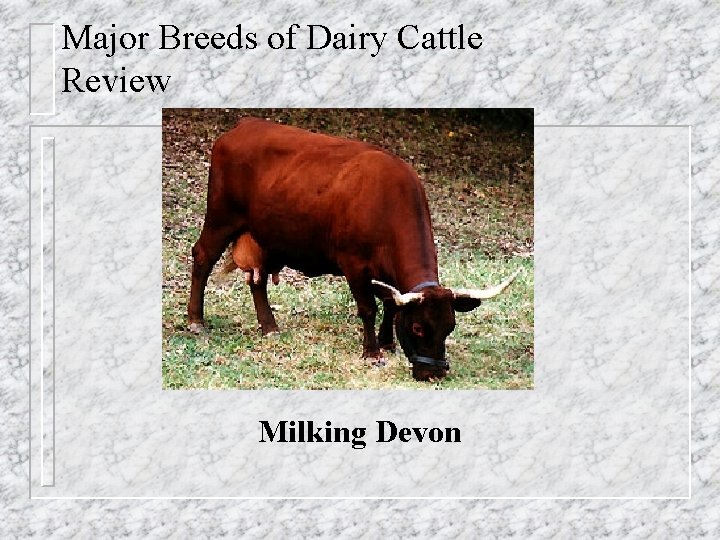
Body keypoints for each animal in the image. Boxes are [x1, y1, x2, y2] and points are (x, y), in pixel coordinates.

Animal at [188, 117, 518, 381]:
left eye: (450, 327)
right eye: (418, 328)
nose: (433, 373)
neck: (387, 203)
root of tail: (243, 125)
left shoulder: (386, 273)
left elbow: (390, 305)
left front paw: (387, 342)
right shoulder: (354, 264)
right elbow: (368, 307)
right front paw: (371, 352)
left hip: (266, 235)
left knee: (257, 279)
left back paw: (269, 326)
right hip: (221, 217)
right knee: (202, 256)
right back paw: (196, 321)